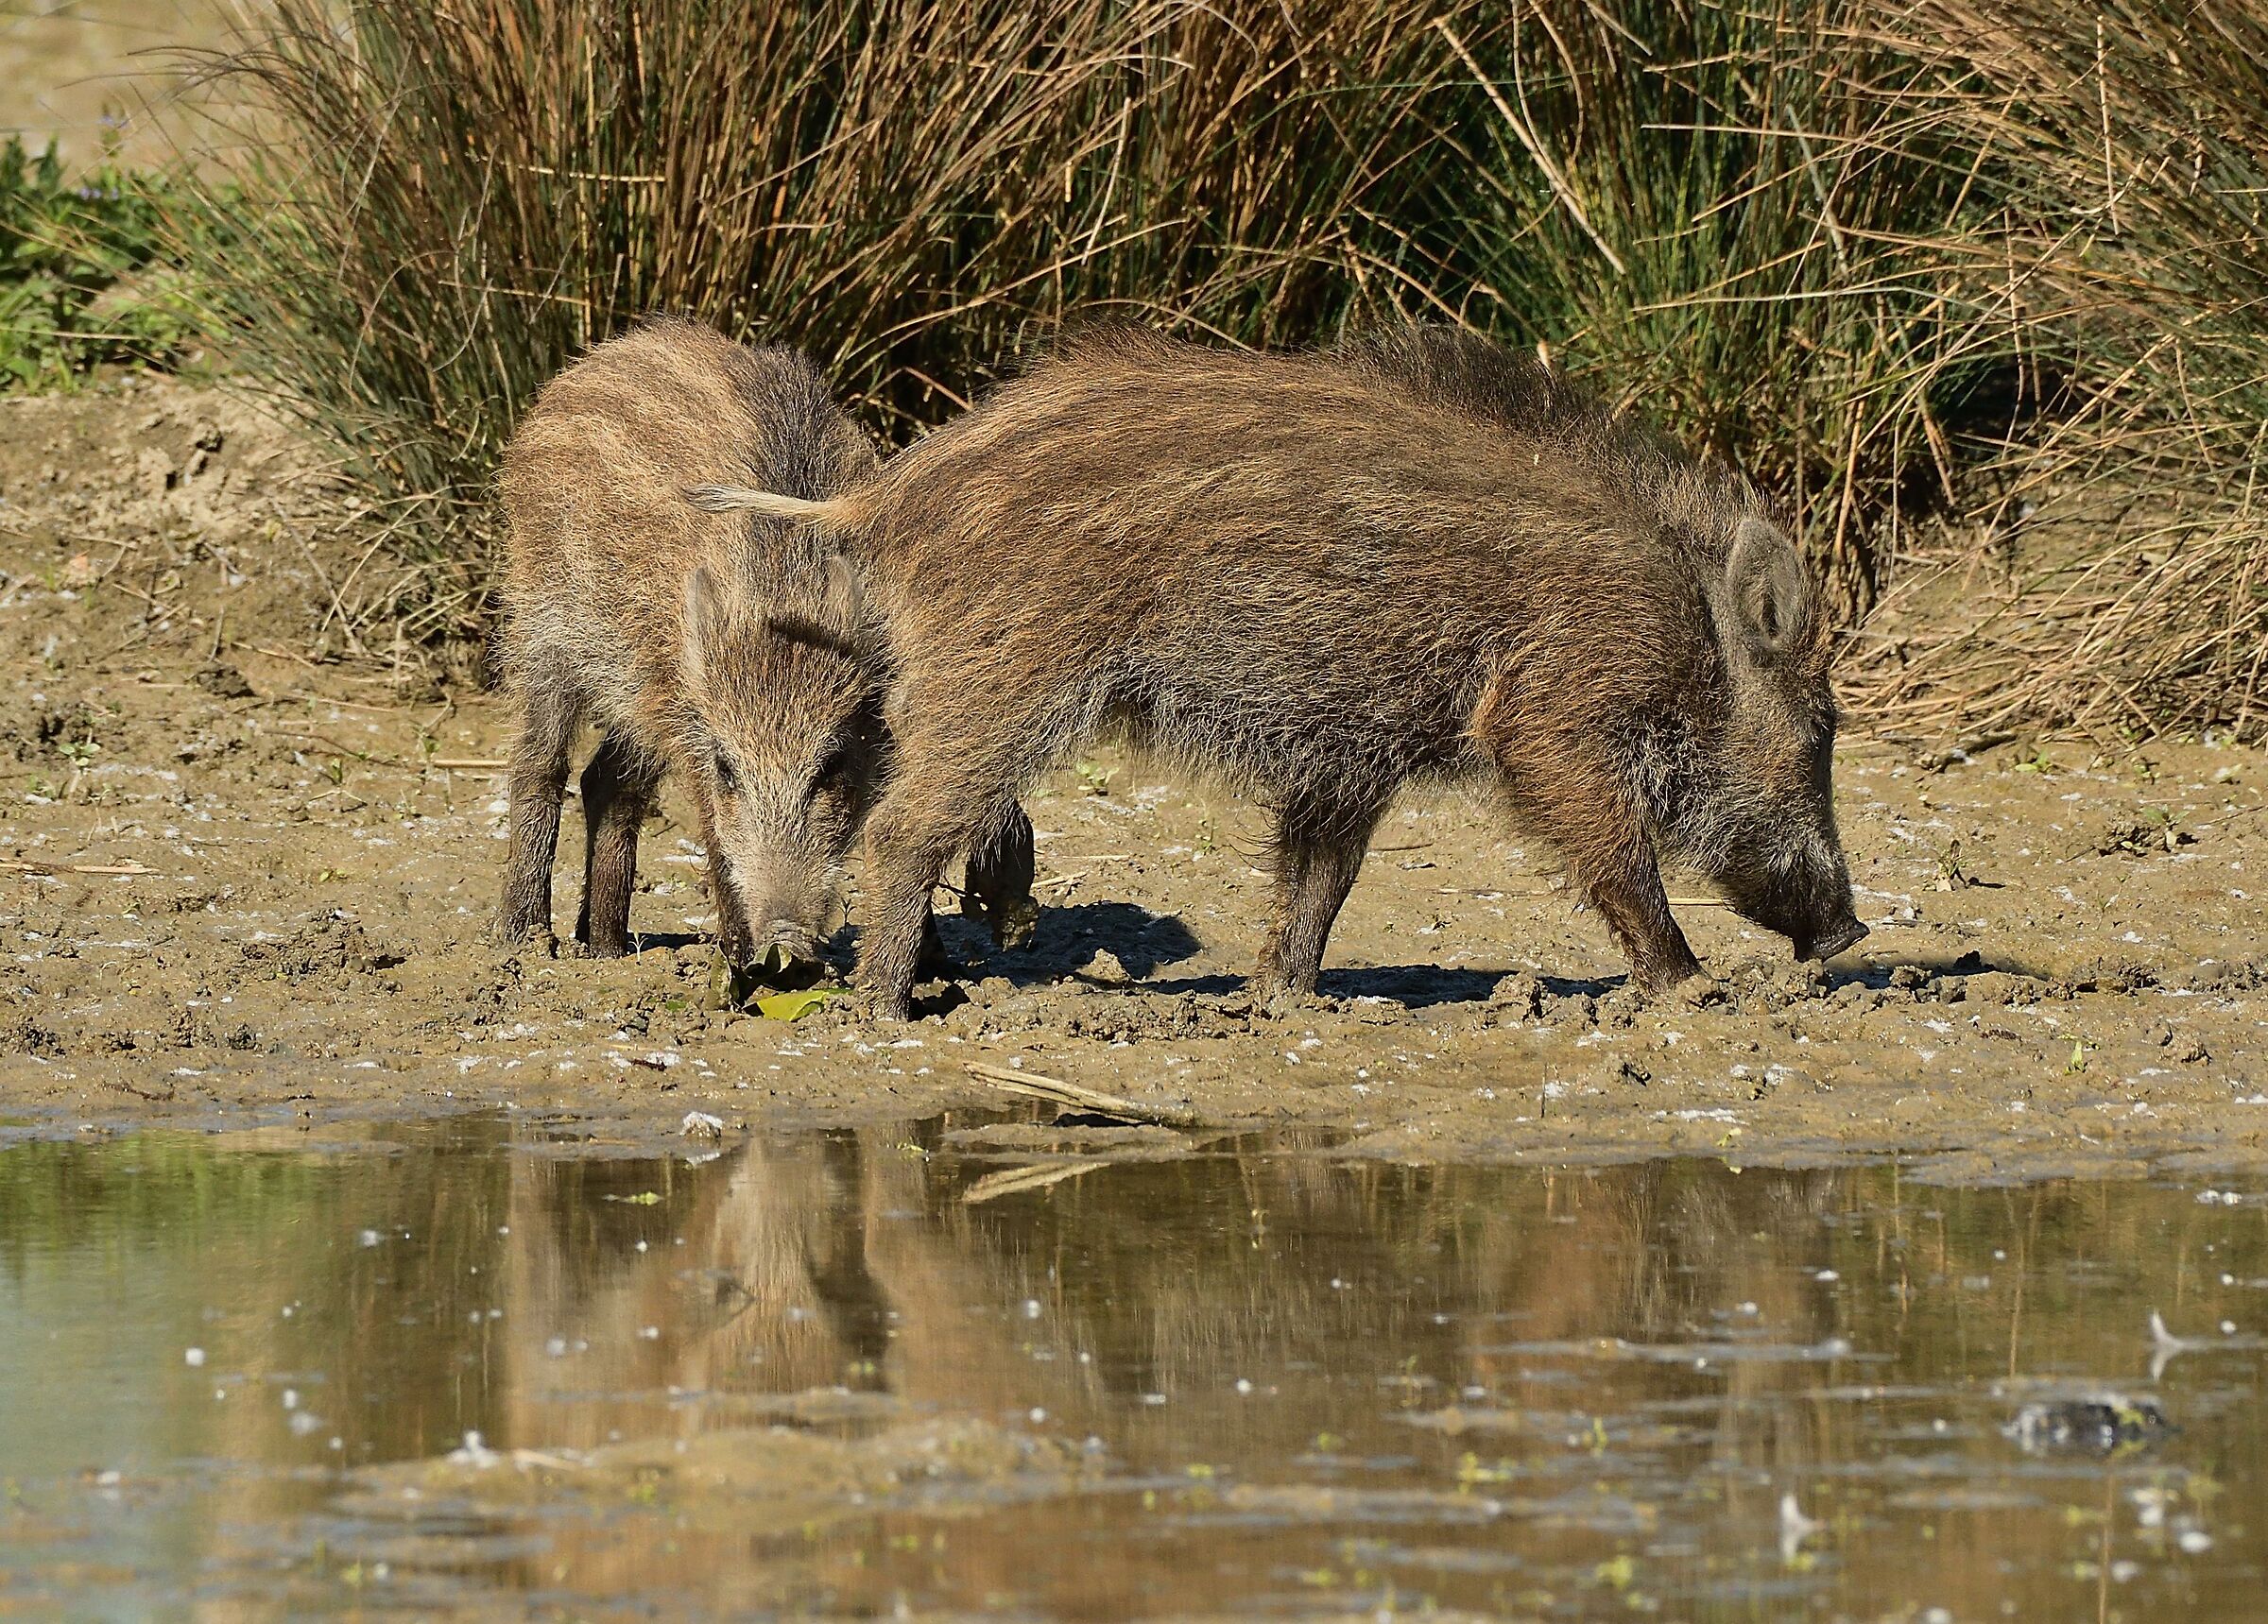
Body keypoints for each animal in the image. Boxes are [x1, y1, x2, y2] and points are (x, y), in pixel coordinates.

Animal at [493, 317, 1035, 983]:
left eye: (831, 766)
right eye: (730, 768)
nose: (787, 943)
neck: (783, 602)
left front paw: (940, 956)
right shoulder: (693, 728)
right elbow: (715, 835)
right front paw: (740, 967)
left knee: (608, 785)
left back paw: (607, 949)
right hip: (541, 630)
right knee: (539, 767)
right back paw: (525, 939)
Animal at [694, 325, 1867, 1017]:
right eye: (1823, 725)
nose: (1850, 928)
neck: (1688, 626)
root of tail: (881, 501)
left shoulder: (1350, 755)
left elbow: (1321, 876)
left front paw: (1290, 1001)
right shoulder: (1555, 716)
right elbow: (1616, 854)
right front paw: (1694, 990)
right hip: (1007, 678)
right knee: (901, 830)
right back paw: (886, 1011)